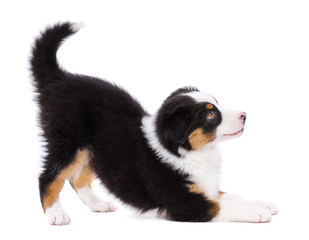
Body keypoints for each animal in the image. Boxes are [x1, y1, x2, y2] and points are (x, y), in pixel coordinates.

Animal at [30, 22, 278, 225]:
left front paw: (262, 203)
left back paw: (99, 205)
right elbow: (222, 205)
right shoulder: (182, 202)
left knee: (78, 178)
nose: (244, 115)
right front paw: (256, 212)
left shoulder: (206, 187)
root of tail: (59, 79)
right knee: (48, 176)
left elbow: (230, 195)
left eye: (217, 104)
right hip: (68, 141)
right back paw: (56, 215)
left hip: (95, 149)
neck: (190, 152)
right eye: (210, 114)